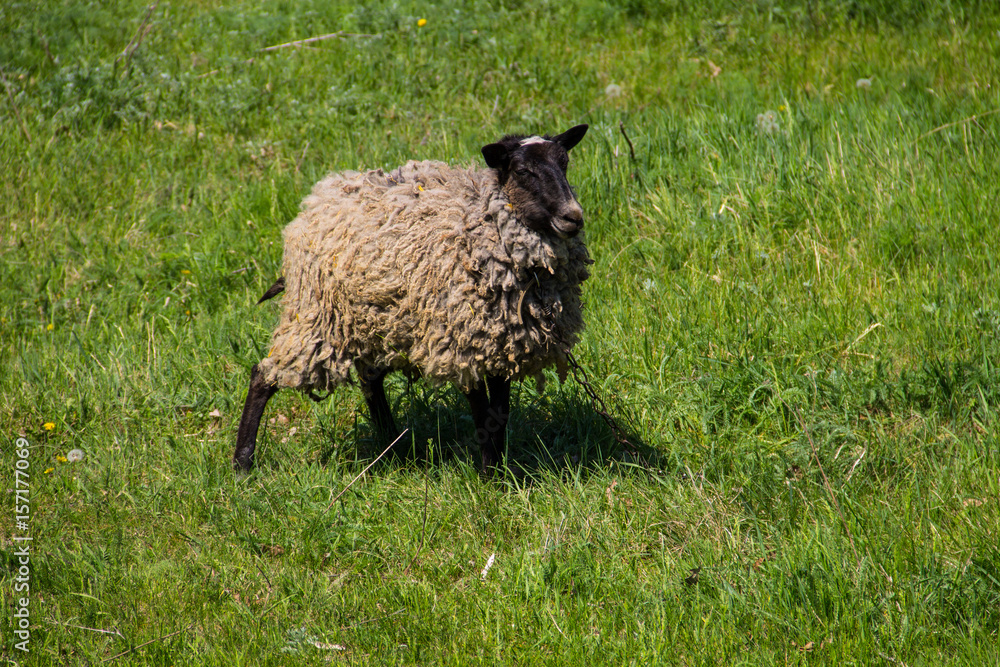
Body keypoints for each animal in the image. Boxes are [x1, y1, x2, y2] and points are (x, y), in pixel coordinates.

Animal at [234, 124, 591, 475]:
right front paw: (489, 476)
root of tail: (314, 202)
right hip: (316, 316)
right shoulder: (463, 345)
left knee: (370, 379)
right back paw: (242, 464)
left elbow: (499, 414)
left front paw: (501, 473)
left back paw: (391, 444)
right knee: (263, 375)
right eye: (522, 171)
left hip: (371, 319)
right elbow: (481, 416)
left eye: (564, 163)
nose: (573, 217)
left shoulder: (501, 346)